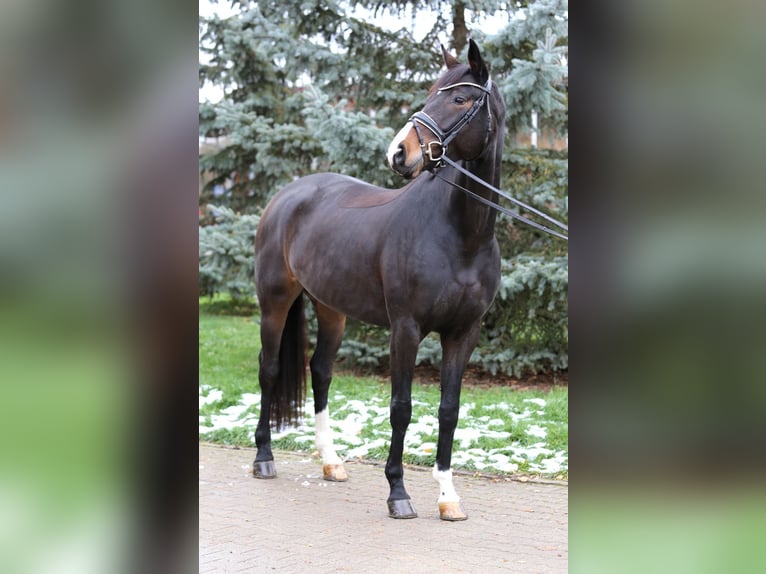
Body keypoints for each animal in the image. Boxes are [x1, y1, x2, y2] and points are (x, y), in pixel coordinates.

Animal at [255, 38, 508, 524]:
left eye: (460, 99)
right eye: (429, 93)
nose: (399, 153)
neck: (462, 237)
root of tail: (286, 195)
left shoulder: (463, 333)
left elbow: (449, 410)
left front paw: (448, 497)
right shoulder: (405, 329)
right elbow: (401, 408)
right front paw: (398, 493)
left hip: (332, 309)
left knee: (321, 372)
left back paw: (331, 462)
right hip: (274, 303)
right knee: (270, 369)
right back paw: (263, 458)